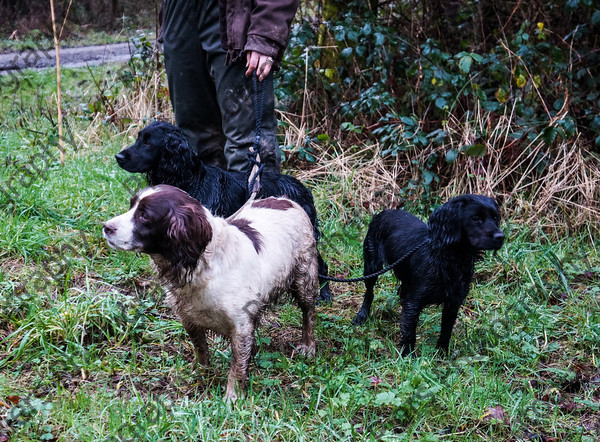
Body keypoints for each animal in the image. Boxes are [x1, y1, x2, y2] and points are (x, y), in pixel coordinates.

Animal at [117, 121, 332, 300]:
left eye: (148, 143)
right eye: (138, 138)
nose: (118, 157)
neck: (191, 180)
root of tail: (303, 188)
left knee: (321, 263)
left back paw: (323, 293)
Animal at [354, 193, 504, 356]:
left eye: (495, 218)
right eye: (475, 218)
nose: (501, 236)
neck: (450, 259)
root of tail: (383, 212)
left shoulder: (453, 302)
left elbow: (446, 330)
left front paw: (442, 354)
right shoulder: (414, 301)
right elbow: (409, 331)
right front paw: (408, 356)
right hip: (372, 266)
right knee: (369, 292)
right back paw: (362, 316)